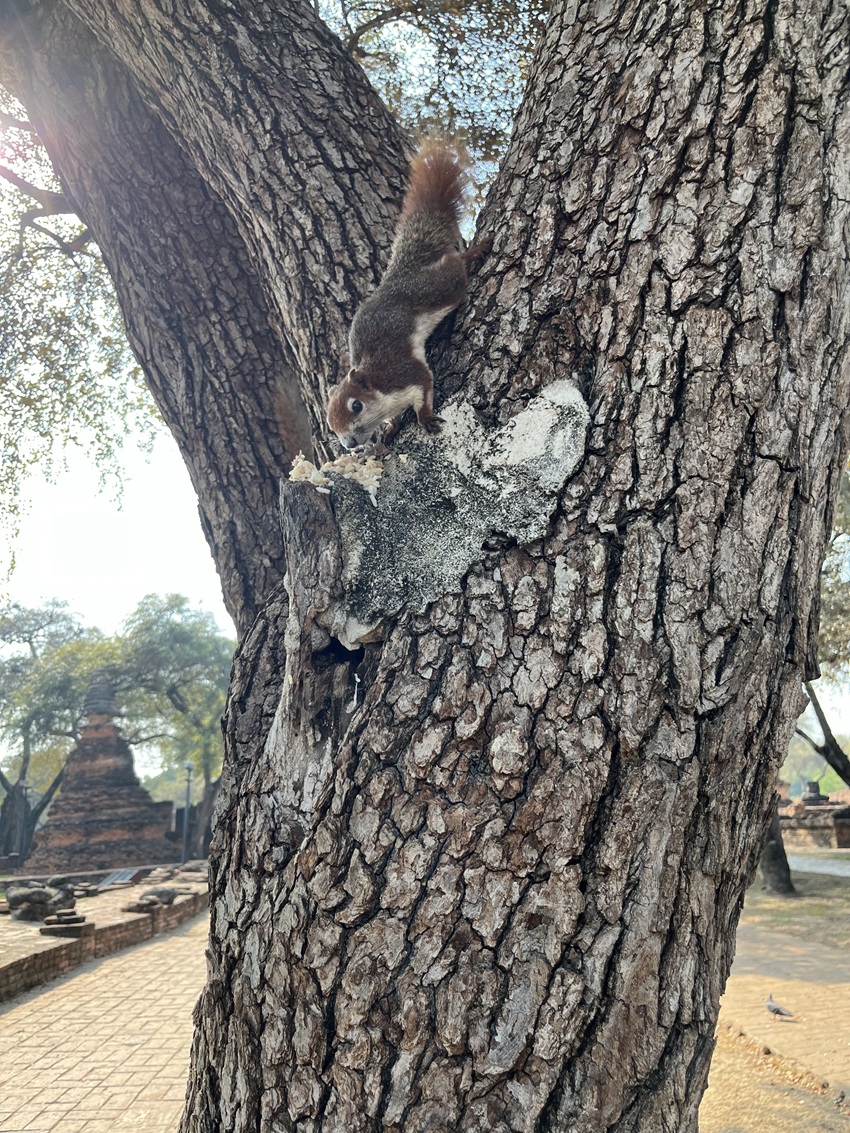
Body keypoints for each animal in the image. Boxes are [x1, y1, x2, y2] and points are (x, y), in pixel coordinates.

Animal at [328, 145, 482, 450]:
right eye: (330, 424)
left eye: (356, 406)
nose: (349, 444)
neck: (380, 393)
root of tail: (397, 276)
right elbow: (395, 420)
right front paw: (389, 430)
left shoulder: (405, 376)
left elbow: (424, 387)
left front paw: (425, 418)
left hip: (436, 290)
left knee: (454, 268)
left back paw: (475, 251)